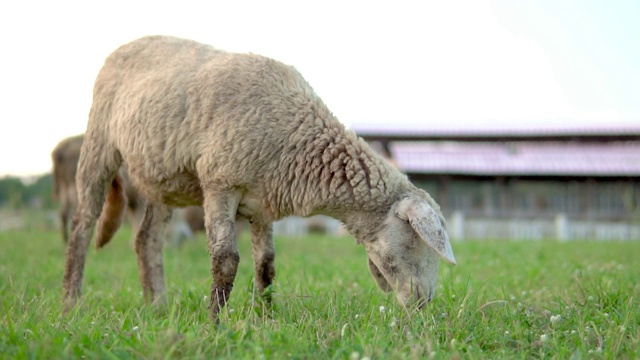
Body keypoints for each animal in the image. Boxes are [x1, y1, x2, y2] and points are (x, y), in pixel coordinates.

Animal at [62, 35, 458, 320]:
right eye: (417, 240)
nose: (424, 304)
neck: (298, 133)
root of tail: (128, 44)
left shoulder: (263, 202)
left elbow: (266, 265)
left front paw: (266, 317)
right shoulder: (221, 183)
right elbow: (226, 261)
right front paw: (214, 324)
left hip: (163, 179)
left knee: (147, 240)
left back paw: (156, 305)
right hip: (99, 141)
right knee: (83, 224)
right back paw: (70, 301)